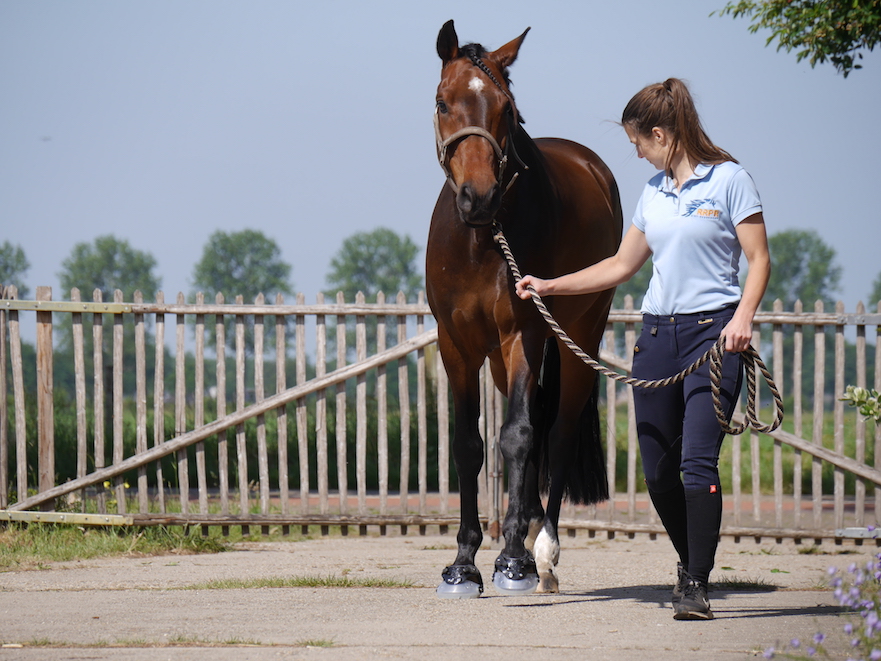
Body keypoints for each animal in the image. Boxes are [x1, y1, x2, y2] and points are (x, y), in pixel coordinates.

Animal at [424, 21, 620, 600]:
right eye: (443, 102)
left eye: (506, 110)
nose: (479, 197)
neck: (481, 241)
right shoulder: (457, 346)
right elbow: (469, 444)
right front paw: (463, 564)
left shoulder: (524, 336)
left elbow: (516, 436)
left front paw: (511, 560)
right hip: (498, 357)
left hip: (578, 339)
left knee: (555, 434)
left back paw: (543, 551)